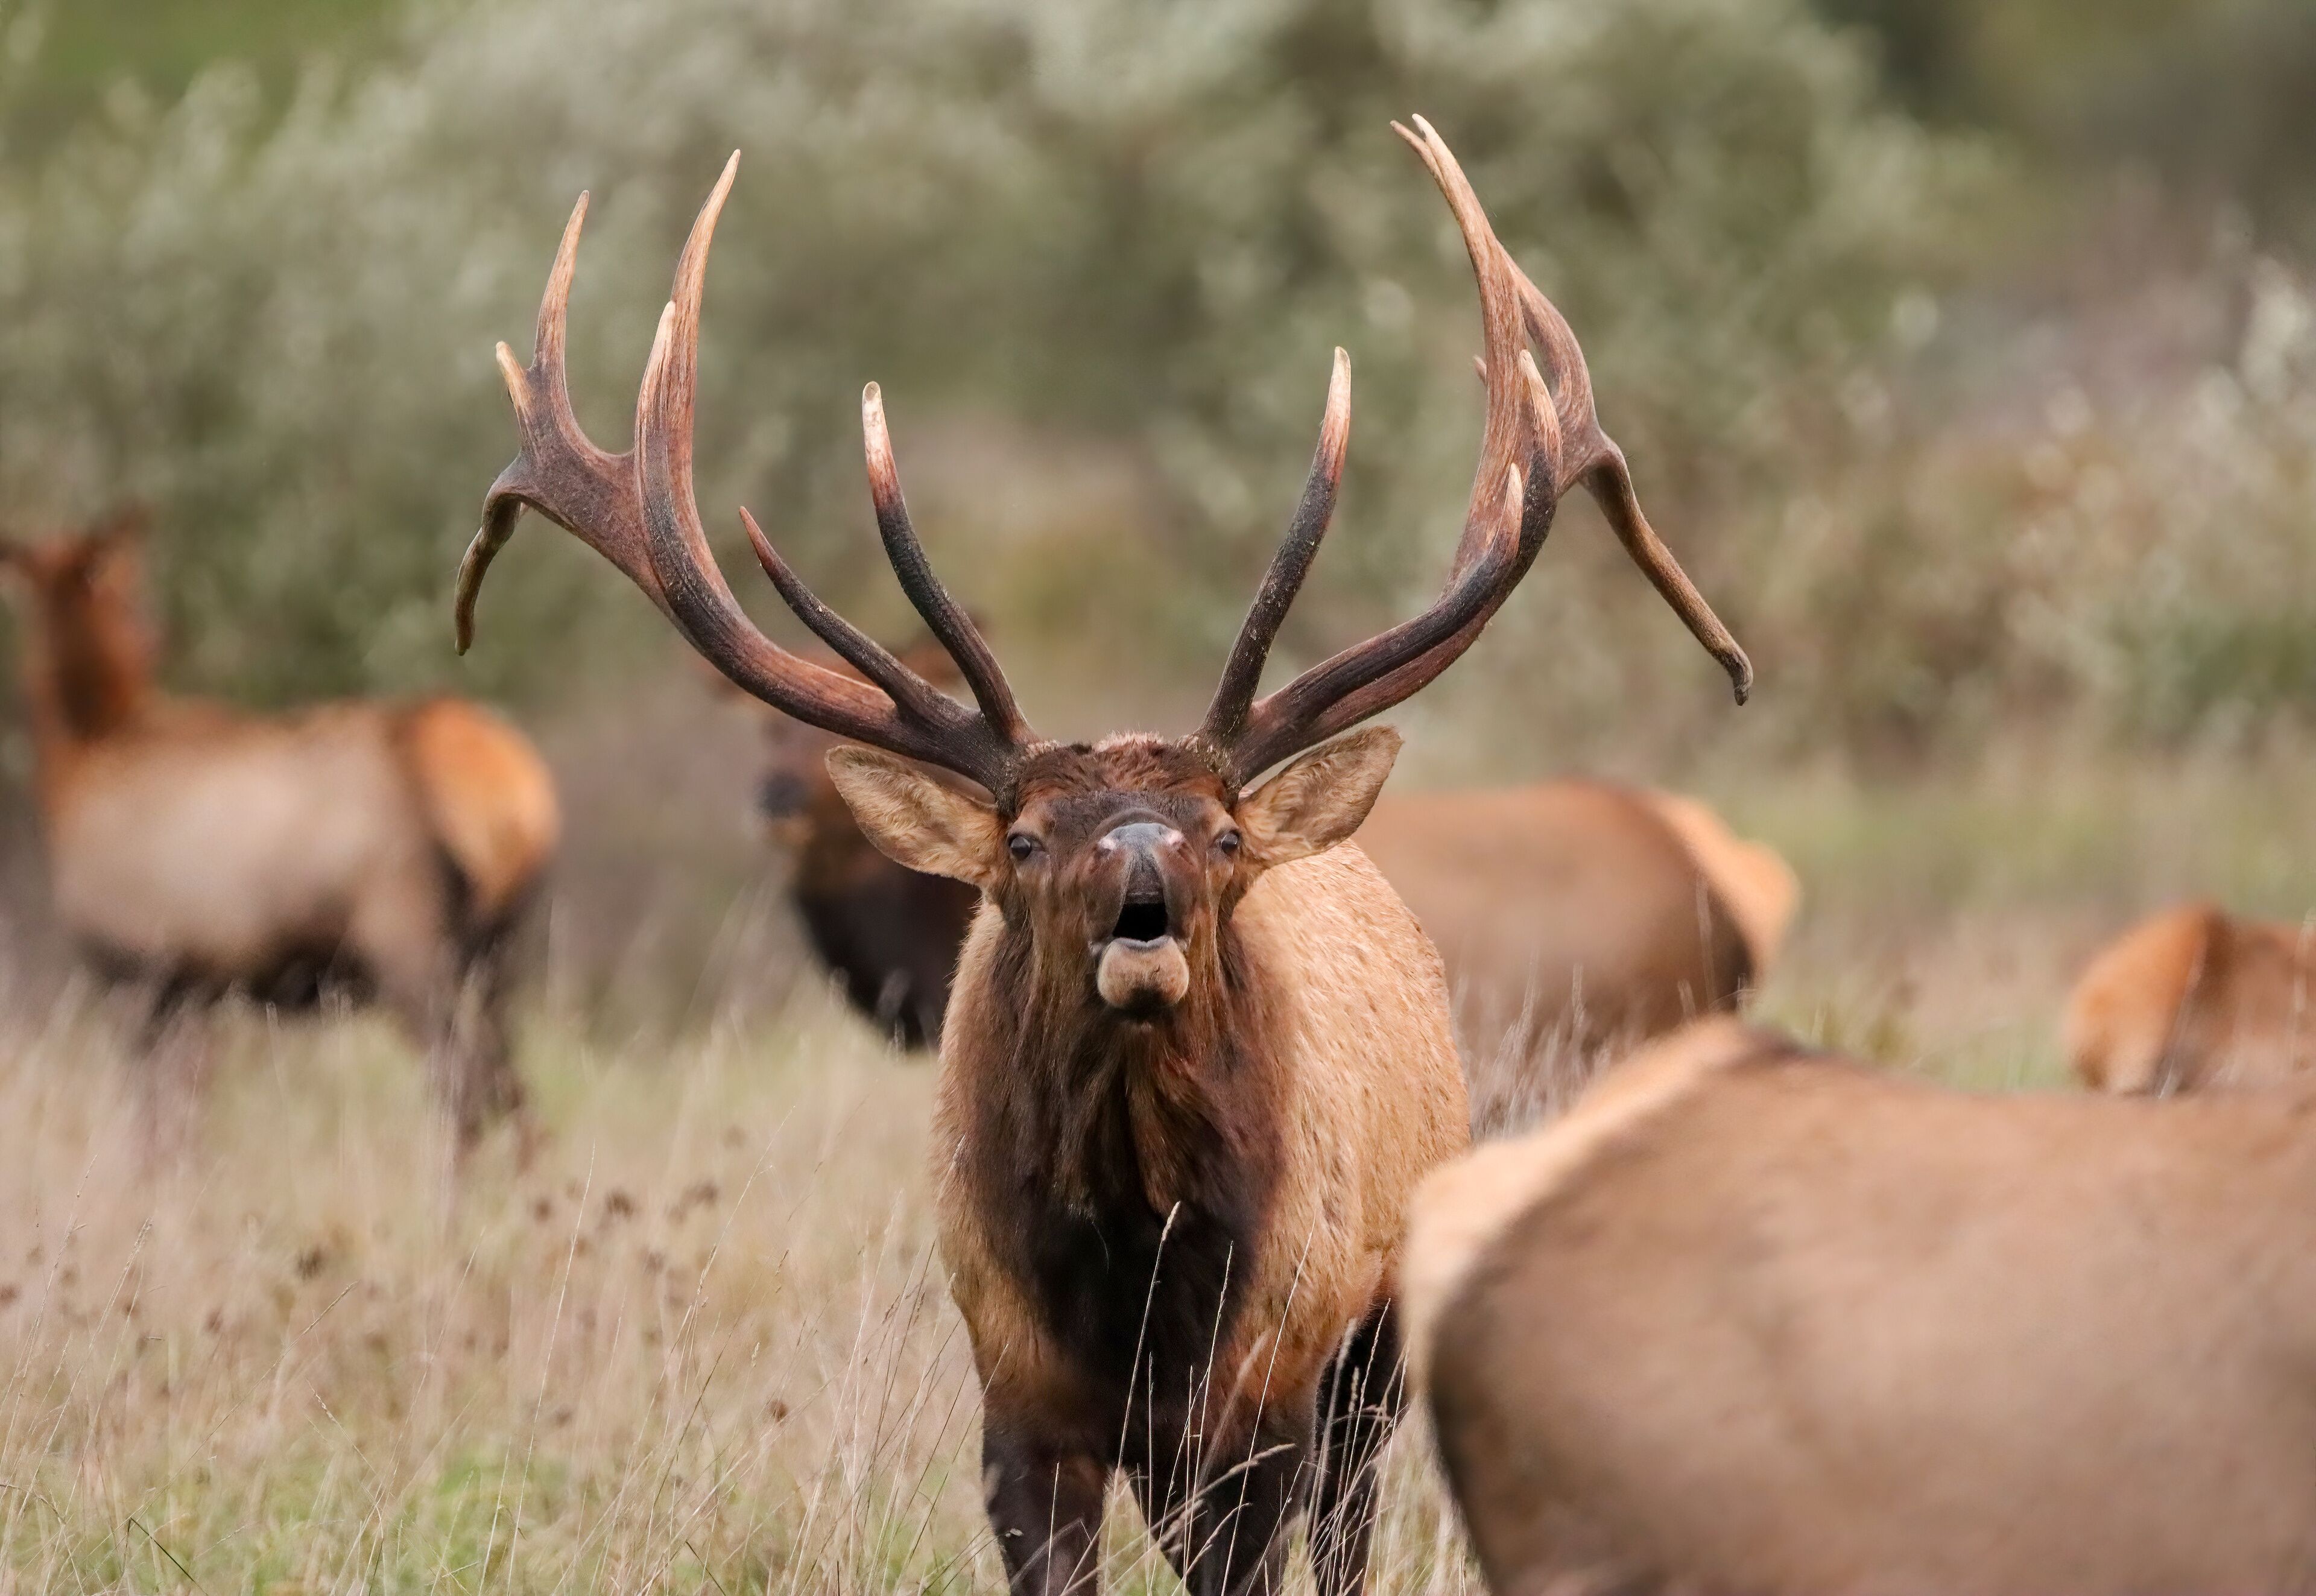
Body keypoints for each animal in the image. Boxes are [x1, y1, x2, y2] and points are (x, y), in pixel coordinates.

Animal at [0, 510, 559, 1160]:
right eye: (130, 591)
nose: (156, 634)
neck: (78, 760)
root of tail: (517, 798)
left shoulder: (137, 974)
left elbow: (156, 1131)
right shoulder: (193, 990)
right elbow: (185, 1123)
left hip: (410, 946)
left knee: (466, 1092)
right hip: (498, 960)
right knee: (516, 1098)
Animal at [455, 117, 1746, 1595]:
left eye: (1226, 835)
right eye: (1023, 838)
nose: (1145, 884)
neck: (1136, 1280)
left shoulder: (1264, 1395)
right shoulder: (1018, 1406)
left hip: (1384, 1327)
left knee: (1355, 1528)